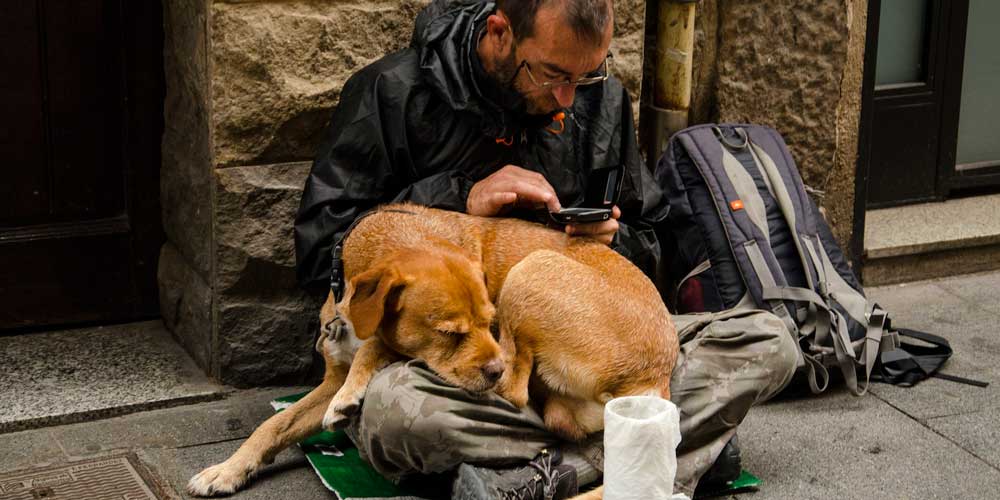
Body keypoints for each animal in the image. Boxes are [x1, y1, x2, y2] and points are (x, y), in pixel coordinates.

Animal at [186, 202, 680, 496]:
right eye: (450, 332)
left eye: (490, 322)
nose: (492, 367)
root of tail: (654, 376)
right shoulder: (328, 378)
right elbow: (273, 425)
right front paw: (227, 470)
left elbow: (377, 348)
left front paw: (353, 393)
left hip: (530, 270)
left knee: (516, 392)